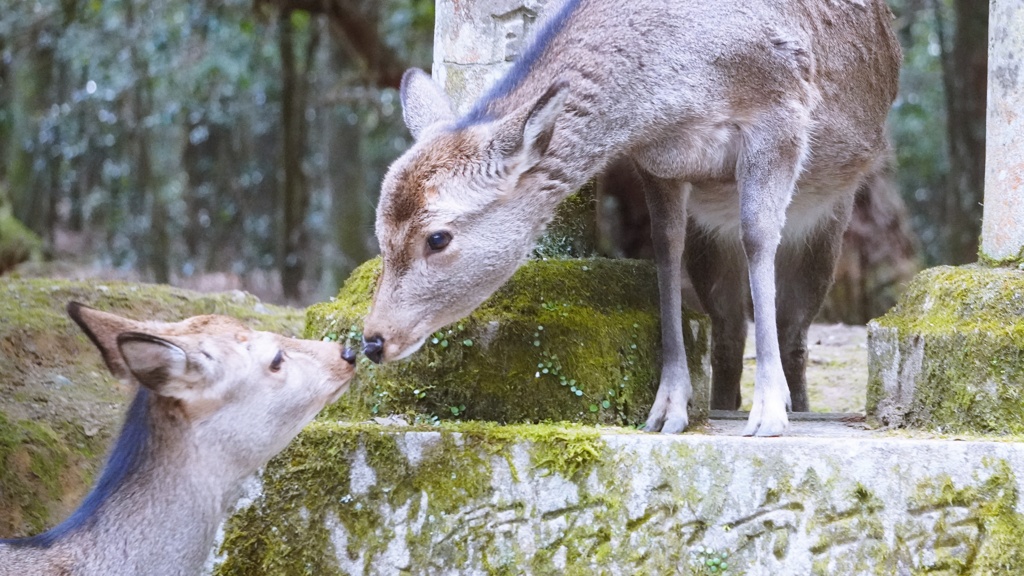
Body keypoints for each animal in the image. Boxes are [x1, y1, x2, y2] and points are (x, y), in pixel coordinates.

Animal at [360, 0, 897, 434]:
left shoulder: (780, 113)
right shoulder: (658, 161)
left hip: (833, 217)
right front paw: (668, 408)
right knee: (726, 325)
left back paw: (793, 403)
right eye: (380, 231)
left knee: (795, 326)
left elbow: (759, 236)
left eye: (438, 238)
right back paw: (724, 403)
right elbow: (664, 250)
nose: (371, 341)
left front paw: (769, 412)